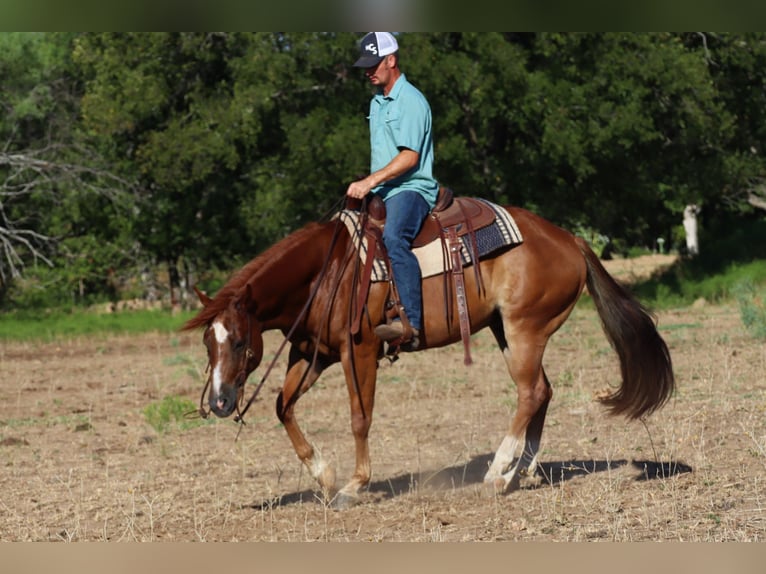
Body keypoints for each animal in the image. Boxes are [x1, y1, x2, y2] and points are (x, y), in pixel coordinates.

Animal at [183, 202, 676, 508]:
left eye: (240, 342)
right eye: (209, 342)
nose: (220, 402)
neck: (326, 273)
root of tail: (569, 239)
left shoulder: (358, 351)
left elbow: (359, 417)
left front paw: (353, 486)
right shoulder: (312, 353)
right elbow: (283, 406)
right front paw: (323, 475)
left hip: (525, 329)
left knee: (531, 392)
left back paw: (498, 474)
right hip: (507, 330)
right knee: (543, 391)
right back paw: (523, 469)